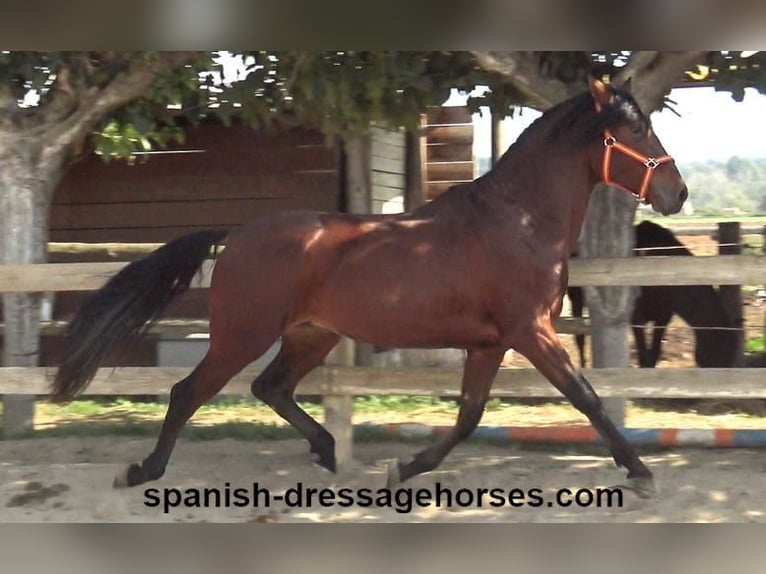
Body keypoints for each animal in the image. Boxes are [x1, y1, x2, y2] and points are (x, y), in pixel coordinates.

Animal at [52, 77, 688, 500]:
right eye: (635, 128)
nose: (676, 194)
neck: (518, 219)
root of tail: (237, 234)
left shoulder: (491, 343)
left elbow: (469, 416)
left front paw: (402, 469)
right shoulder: (531, 331)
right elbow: (587, 398)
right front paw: (640, 472)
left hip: (312, 335)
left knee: (271, 387)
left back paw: (328, 451)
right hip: (242, 334)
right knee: (189, 392)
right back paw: (142, 471)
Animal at [568, 220, 740, 368]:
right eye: (721, 351)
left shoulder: (663, 318)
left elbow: (654, 354)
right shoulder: (636, 319)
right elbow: (643, 355)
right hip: (575, 299)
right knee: (579, 337)